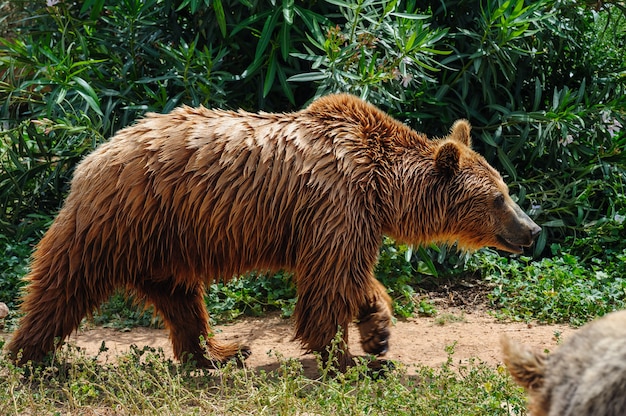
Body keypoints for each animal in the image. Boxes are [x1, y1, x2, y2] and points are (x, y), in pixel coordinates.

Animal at [7, 93, 540, 370]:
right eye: (499, 197)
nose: (532, 231)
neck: (383, 185)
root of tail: (94, 155)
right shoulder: (337, 203)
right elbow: (329, 282)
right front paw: (345, 358)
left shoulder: (349, 218)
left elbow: (352, 277)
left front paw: (377, 333)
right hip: (125, 217)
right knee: (66, 279)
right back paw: (29, 355)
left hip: (166, 240)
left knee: (179, 297)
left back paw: (219, 351)